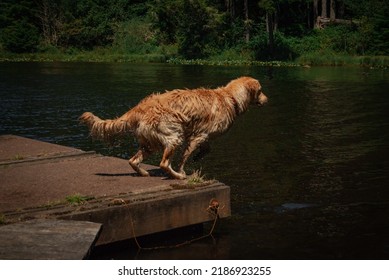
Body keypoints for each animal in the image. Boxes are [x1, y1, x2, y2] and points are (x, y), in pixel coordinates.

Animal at [79, 76, 266, 179]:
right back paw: (178, 176)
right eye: (260, 90)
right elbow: (184, 157)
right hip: (174, 135)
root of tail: (140, 107)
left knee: (132, 160)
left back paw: (144, 173)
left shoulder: (203, 136)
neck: (230, 98)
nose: (267, 99)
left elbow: (206, 149)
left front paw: (198, 156)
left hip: (150, 143)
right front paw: (184, 169)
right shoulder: (199, 135)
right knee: (163, 163)